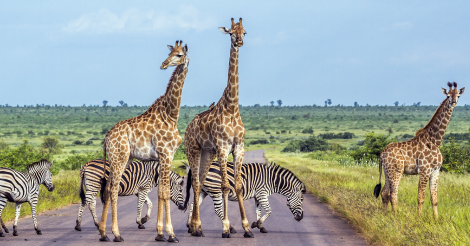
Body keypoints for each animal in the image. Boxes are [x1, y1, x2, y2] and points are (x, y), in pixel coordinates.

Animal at [98, 40, 189, 242]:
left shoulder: (163, 157)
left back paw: (103, 233)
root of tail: (106, 138)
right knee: (113, 189)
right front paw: (170, 234)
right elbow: (164, 192)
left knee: (107, 188)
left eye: (179, 54)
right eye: (170, 53)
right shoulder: (166, 154)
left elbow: (161, 192)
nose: (163, 64)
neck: (171, 115)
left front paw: (160, 233)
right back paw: (116, 234)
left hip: (123, 159)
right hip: (119, 158)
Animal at [184, 18, 253, 239]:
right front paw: (225, 228)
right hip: (194, 150)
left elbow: (237, 186)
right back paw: (196, 226)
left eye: (244, 32)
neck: (232, 106)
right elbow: (224, 186)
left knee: (200, 182)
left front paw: (247, 228)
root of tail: (188, 127)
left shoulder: (238, 147)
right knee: (196, 183)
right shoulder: (223, 147)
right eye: (231, 32)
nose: (239, 41)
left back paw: (196, 227)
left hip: (208, 153)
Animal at [374, 82, 462, 219]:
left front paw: (436, 220)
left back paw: (385, 214)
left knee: (384, 192)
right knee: (393, 194)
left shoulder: (436, 171)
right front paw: (419, 218)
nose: (453, 102)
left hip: (388, 171)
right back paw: (395, 215)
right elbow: (421, 197)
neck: (435, 141)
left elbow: (434, 198)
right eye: (448, 95)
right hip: (397, 171)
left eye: (458, 95)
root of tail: (382, 154)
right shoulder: (424, 170)